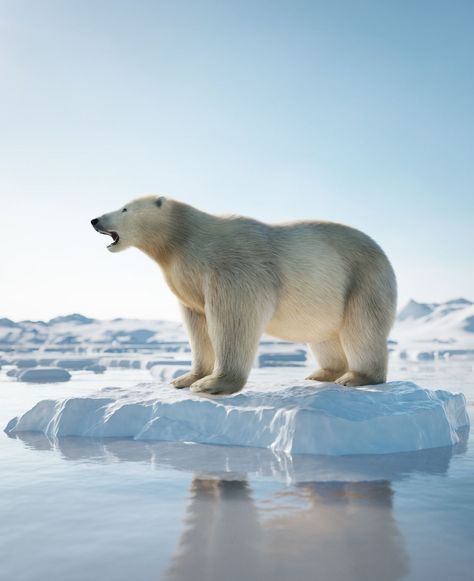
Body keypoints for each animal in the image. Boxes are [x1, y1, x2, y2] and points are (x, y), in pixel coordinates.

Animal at [91, 196, 396, 394]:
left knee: (361, 329)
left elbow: (233, 318)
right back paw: (321, 374)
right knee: (324, 335)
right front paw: (185, 378)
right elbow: (197, 325)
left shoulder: (232, 267)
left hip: (363, 279)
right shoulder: (188, 282)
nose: (95, 219)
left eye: (124, 208)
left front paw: (212, 384)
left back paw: (356, 377)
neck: (184, 239)